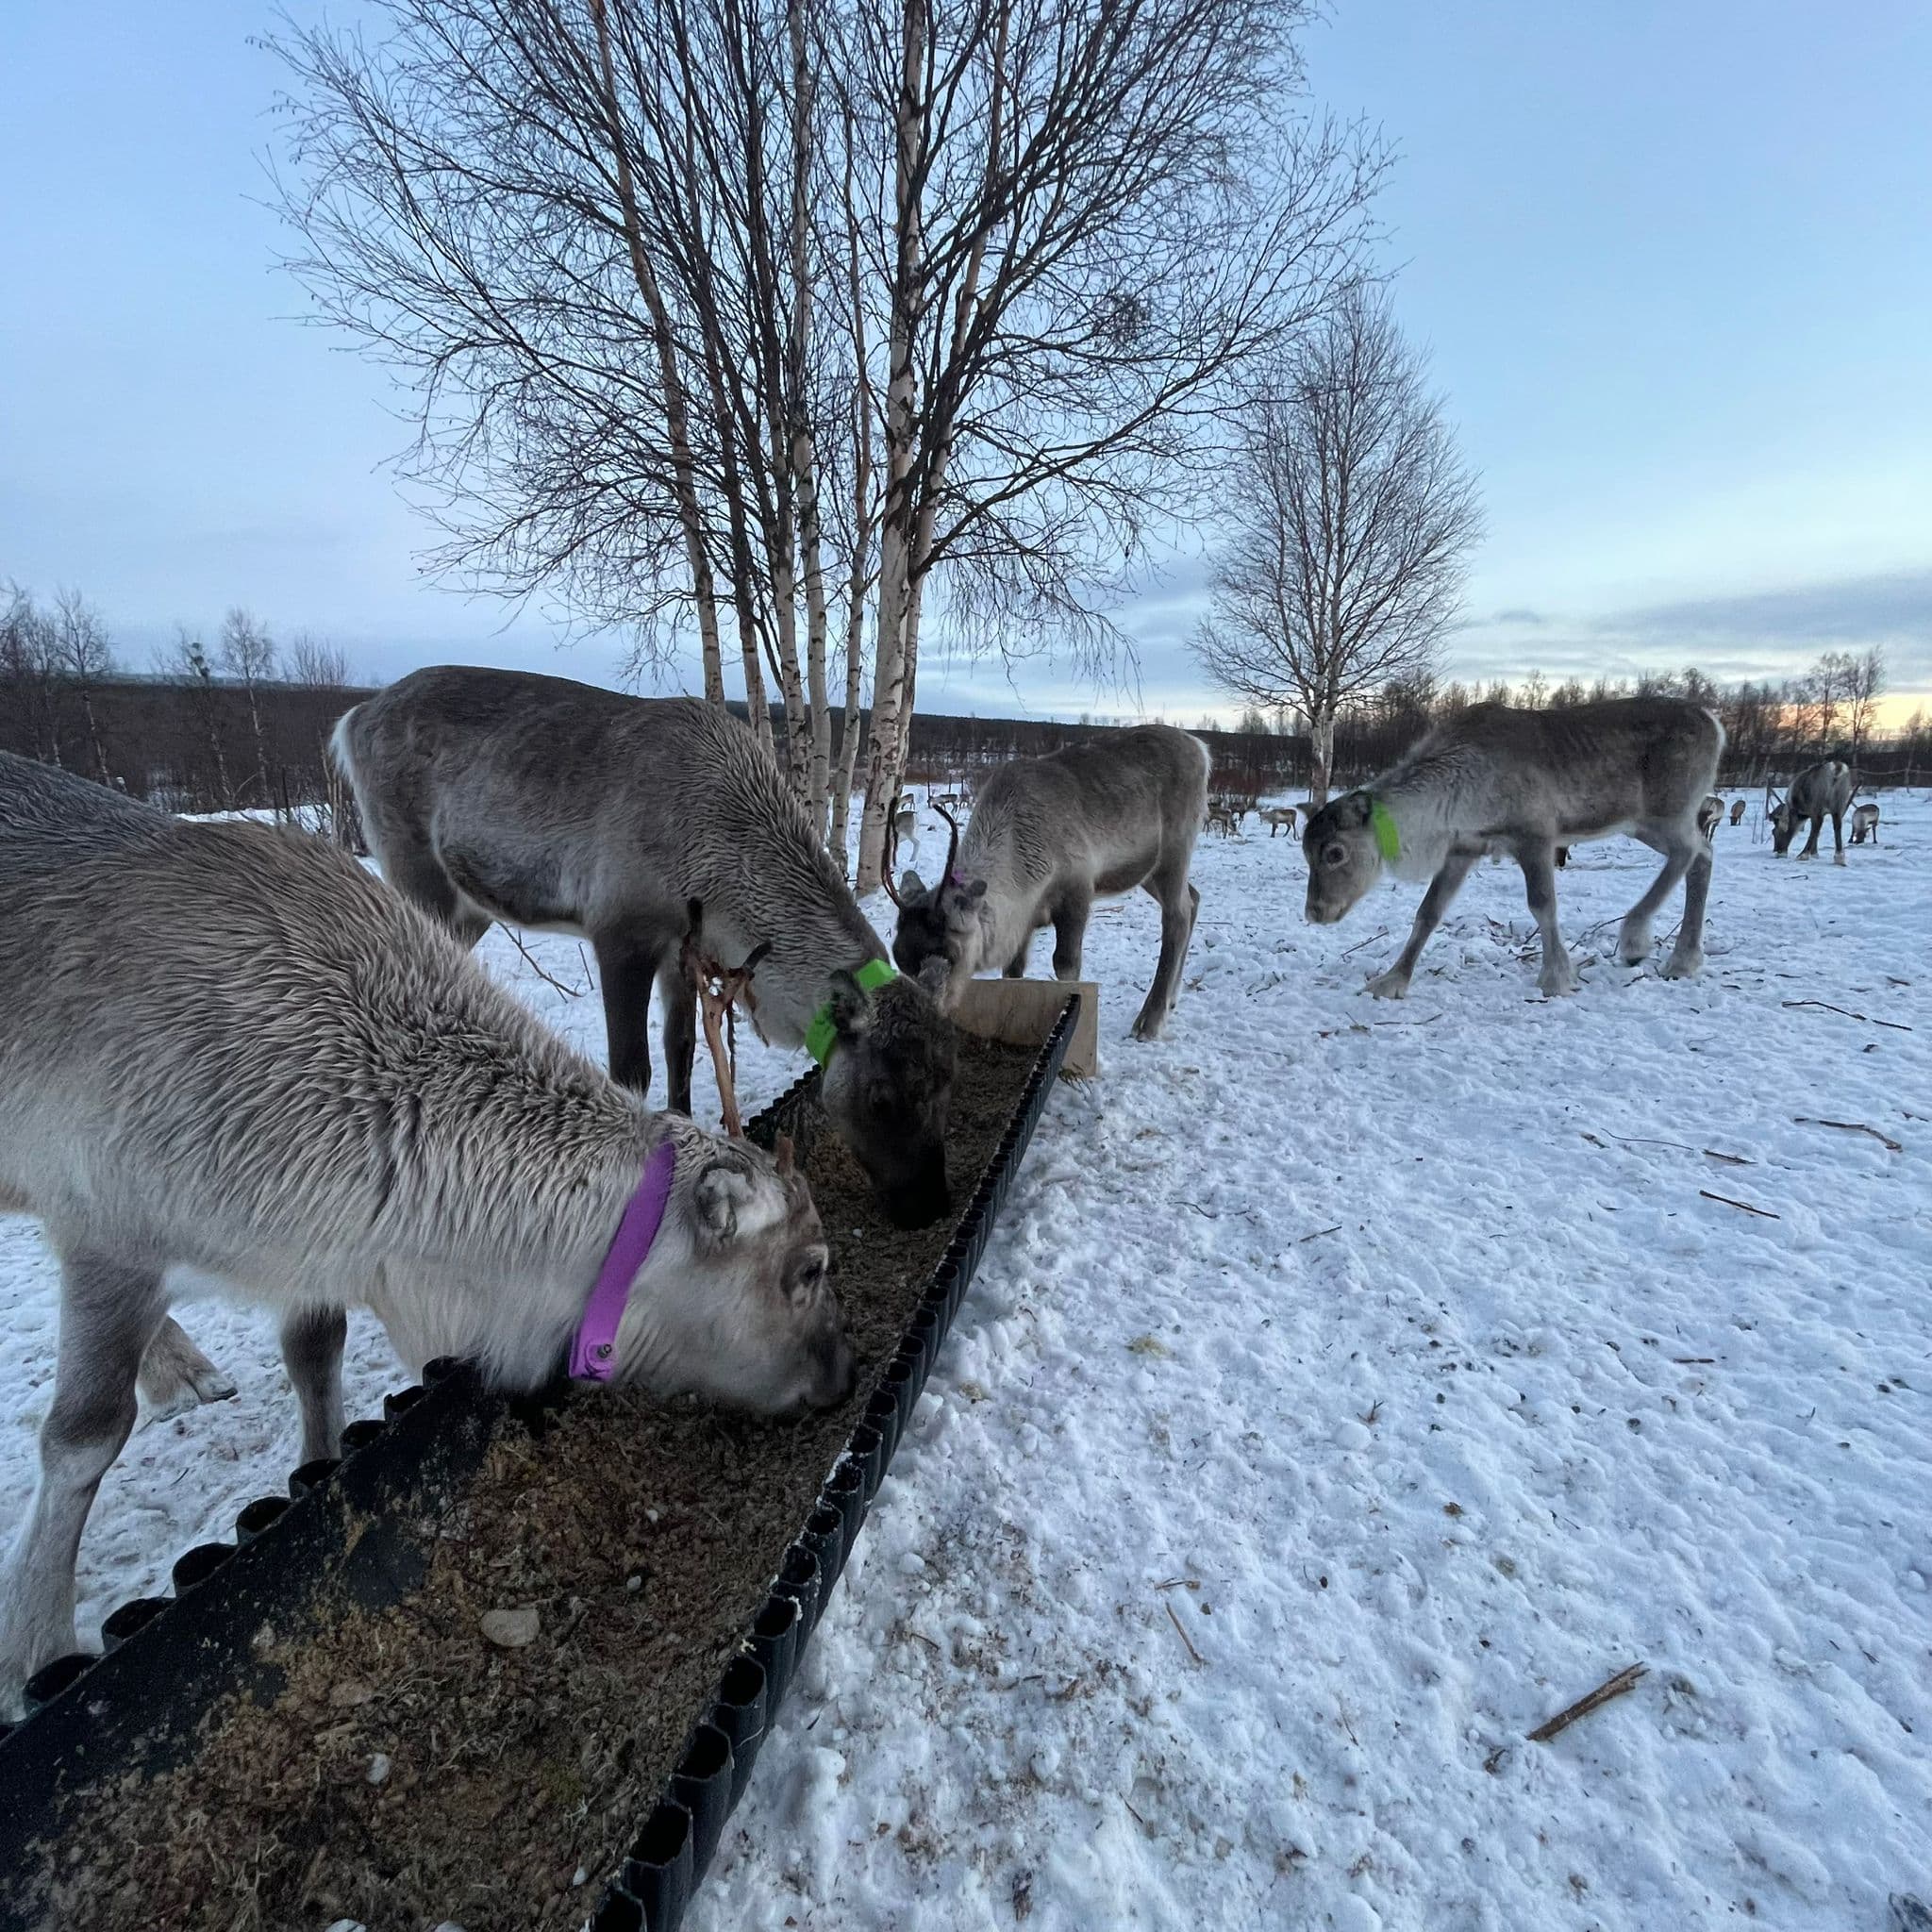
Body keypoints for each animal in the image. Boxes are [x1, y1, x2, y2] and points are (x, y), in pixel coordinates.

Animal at [0, 754, 850, 1713]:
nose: (846, 1373)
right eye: (810, 1269)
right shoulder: (106, 1224)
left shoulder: (313, 1249)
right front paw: (34, 1649)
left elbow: (314, 1352)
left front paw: (315, 1458)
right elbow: (82, 1436)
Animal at [332, 667, 957, 1230]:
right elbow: (632, 1069)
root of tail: (353, 717)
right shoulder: (620, 932)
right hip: (413, 868)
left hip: (471, 909)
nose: (929, 1206)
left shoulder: (683, 951)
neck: (716, 857)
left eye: (946, 1082)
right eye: (880, 1097)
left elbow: (681, 1052)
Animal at [889, 725, 1211, 1041]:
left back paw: (1149, 1021)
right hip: (1148, 872)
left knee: (1178, 916)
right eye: (899, 959)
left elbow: (1066, 964)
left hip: (1174, 850)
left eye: (950, 956)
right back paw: (1171, 999)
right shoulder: (1023, 920)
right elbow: (1013, 970)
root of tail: (1200, 748)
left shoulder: (1078, 889)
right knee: (1194, 898)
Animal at [1301, 698, 1724, 999]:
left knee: (1688, 852)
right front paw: (1392, 980)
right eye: (1306, 852)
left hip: (1666, 811)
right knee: (1703, 855)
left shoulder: (1535, 836)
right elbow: (1428, 912)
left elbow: (1542, 904)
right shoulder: (1463, 849)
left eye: (1335, 852)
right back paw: (1683, 960)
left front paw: (1556, 976)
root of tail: (1716, 724)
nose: (1315, 912)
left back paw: (1636, 938)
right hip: (1644, 824)